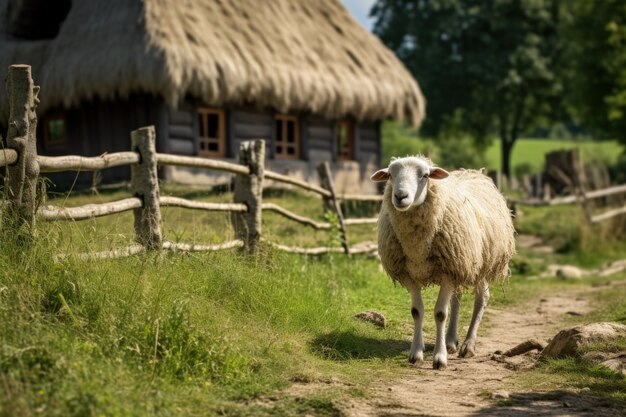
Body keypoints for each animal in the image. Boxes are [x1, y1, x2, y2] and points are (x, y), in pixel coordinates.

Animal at [370, 155, 512, 368]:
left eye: (425, 175)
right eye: (389, 175)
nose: (400, 196)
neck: (417, 246)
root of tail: (474, 172)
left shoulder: (448, 271)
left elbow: (440, 314)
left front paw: (439, 357)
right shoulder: (411, 274)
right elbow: (416, 311)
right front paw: (416, 353)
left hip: (478, 264)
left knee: (482, 299)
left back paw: (468, 345)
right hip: (460, 267)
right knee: (456, 298)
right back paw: (451, 341)